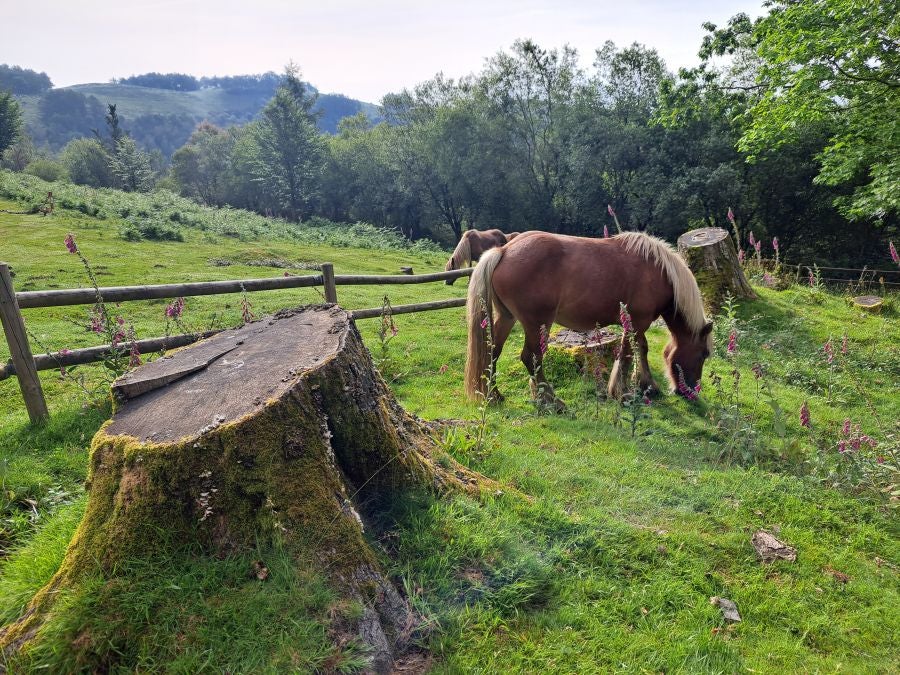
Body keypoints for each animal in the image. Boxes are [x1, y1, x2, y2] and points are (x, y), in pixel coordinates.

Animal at [464, 235, 712, 406]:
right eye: (704, 354)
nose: (690, 391)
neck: (659, 271)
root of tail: (504, 250)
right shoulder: (636, 322)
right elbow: (628, 354)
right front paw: (623, 393)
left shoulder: (637, 325)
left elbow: (640, 349)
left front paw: (647, 385)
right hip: (537, 324)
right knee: (530, 357)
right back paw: (551, 400)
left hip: (507, 317)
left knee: (493, 352)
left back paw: (494, 395)